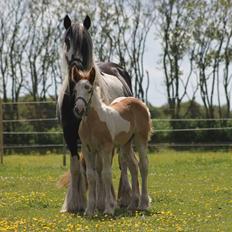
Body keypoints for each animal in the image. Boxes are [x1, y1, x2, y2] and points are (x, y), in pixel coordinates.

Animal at [58, 15, 133, 213]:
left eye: (85, 42)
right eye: (67, 40)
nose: (76, 68)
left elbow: (100, 169)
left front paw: (101, 202)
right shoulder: (71, 136)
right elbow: (76, 167)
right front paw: (75, 203)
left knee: (122, 162)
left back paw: (123, 197)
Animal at [72, 65, 151, 216]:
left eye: (88, 88)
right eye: (75, 90)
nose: (78, 109)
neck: (93, 123)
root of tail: (139, 102)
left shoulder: (106, 148)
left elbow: (106, 174)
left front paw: (109, 208)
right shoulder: (87, 149)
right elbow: (91, 176)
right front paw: (89, 210)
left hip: (140, 139)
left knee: (143, 166)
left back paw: (144, 204)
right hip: (126, 144)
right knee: (133, 166)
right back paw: (132, 205)